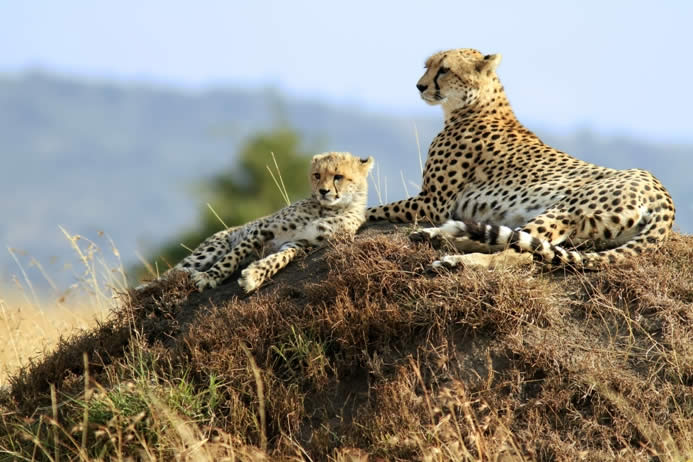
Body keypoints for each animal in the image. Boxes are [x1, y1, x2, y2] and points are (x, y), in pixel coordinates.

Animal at [370, 47, 672, 268]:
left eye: (444, 69)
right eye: (427, 66)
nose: (419, 86)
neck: (476, 104)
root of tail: (662, 194)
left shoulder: (433, 202)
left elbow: (375, 209)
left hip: (564, 209)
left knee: (519, 250)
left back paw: (454, 257)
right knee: (513, 241)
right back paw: (439, 237)